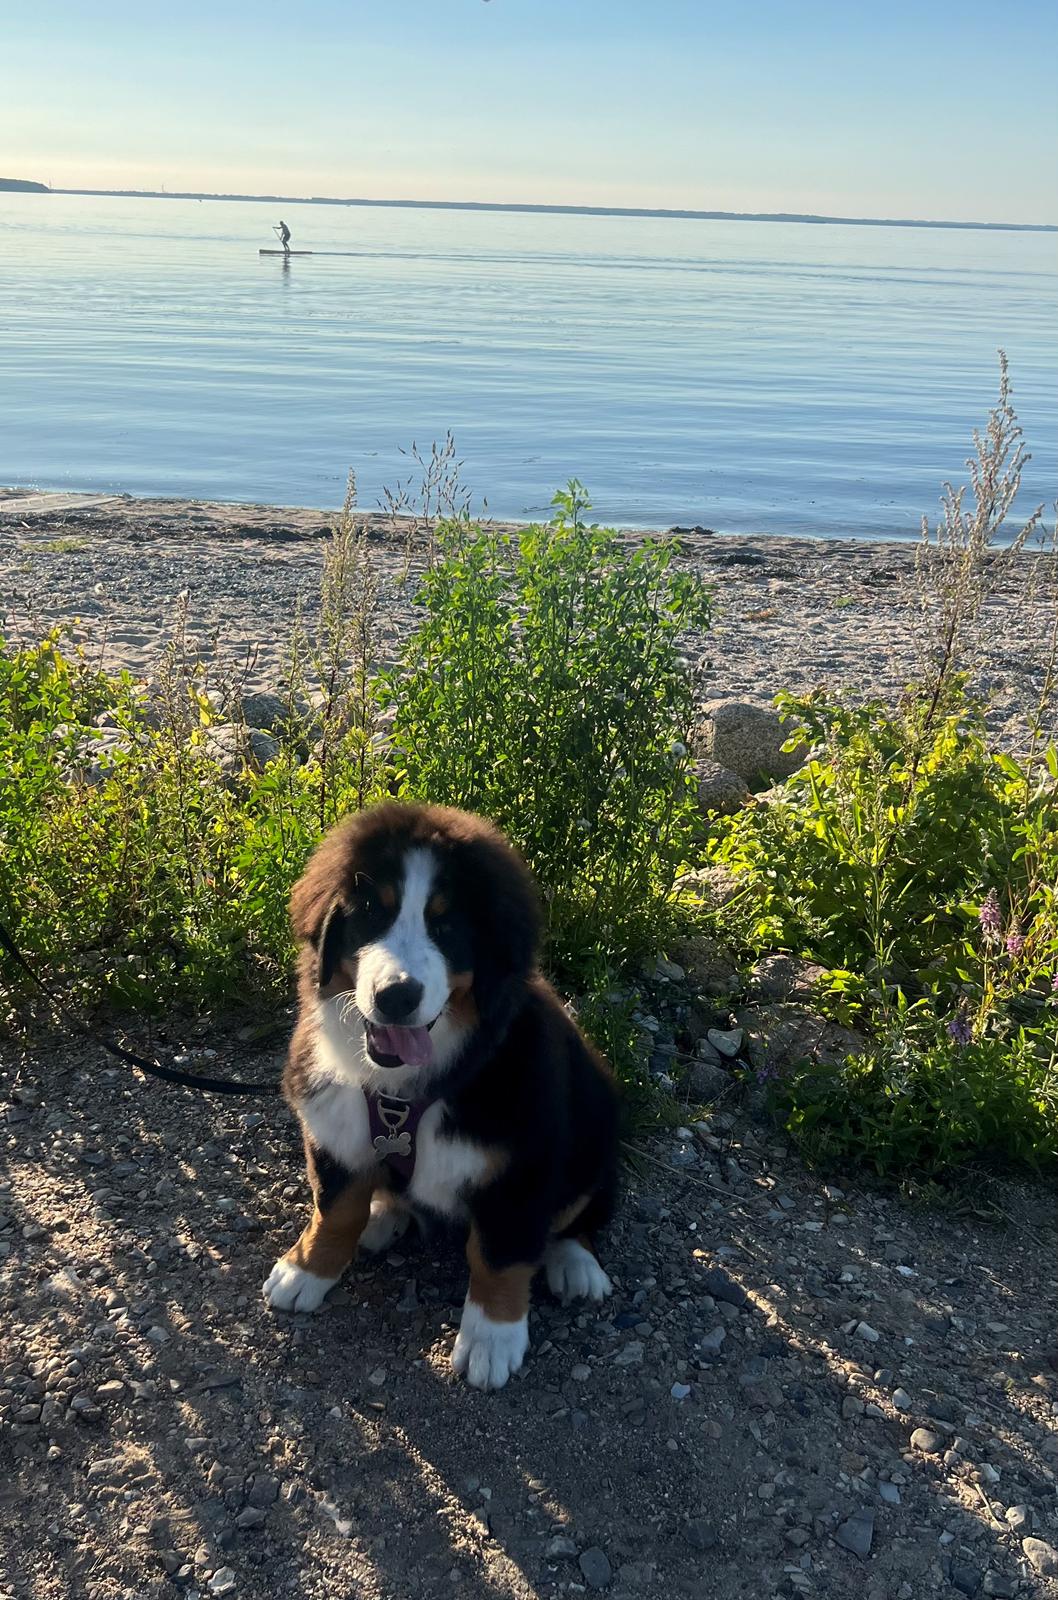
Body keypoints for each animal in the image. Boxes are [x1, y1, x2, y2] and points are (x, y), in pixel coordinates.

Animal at [260, 806, 617, 1382]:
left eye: (447, 925)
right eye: (372, 914)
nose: (396, 996)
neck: (401, 1092)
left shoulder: (523, 1166)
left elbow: (499, 1254)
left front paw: (492, 1338)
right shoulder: (332, 1130)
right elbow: (334, 1209)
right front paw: (306, 1269)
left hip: (593, 1135)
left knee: (578, 1214)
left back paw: (576, 1265)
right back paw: (383, 1215)